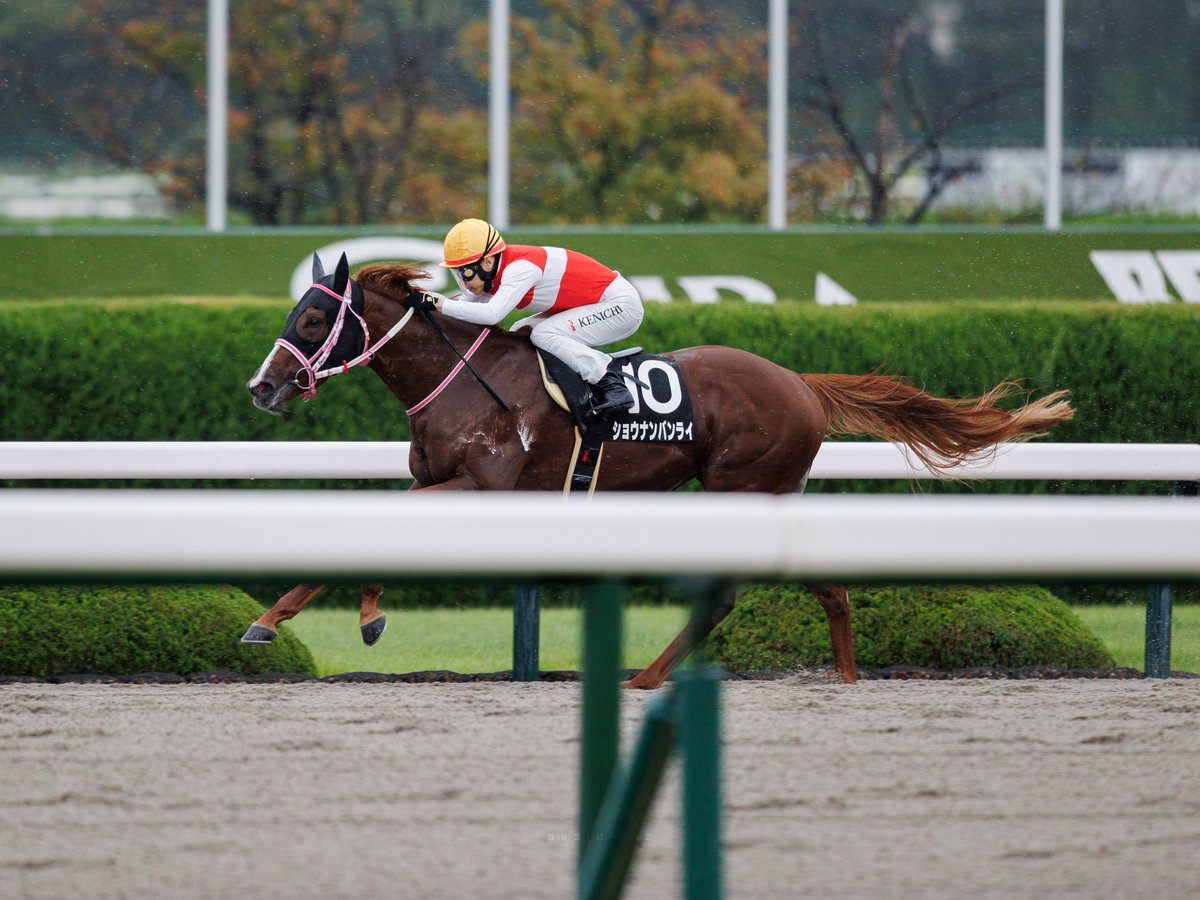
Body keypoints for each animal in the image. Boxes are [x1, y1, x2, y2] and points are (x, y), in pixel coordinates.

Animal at [245, 252, 1074, 687]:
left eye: (312, 319)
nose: (261, 386)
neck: (460, 381)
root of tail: (803, 383)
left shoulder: (482, 488)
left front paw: (326, 617)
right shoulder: (438, 482)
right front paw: (291, 618)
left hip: (744, 487)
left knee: (730, 597)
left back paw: (647, 678)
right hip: (766, 495)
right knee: (824, 586)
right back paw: (837, 678)